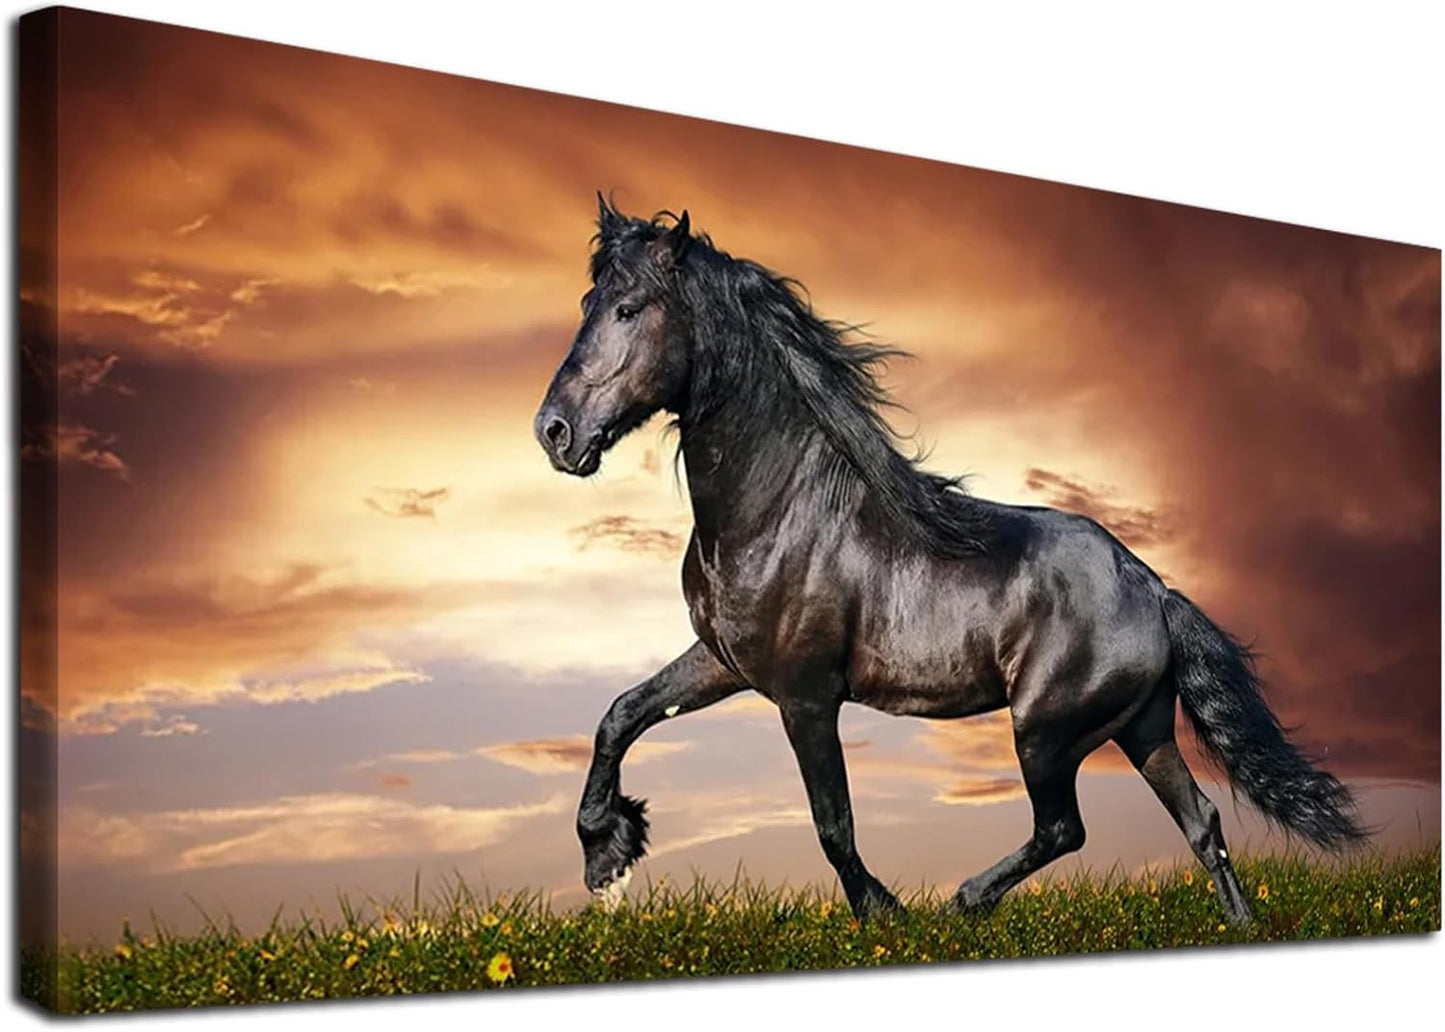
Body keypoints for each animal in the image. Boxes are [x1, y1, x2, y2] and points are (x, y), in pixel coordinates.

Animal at [533, 195, 1366, 925]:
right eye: (586, 301)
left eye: (628, 309)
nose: (554, 431)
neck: (779, 510)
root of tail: (1153, 589)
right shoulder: (723, 661)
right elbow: (620, 716)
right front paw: (606, 856)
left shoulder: (805, 695)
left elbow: (832, 823)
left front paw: (883, 914)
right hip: (1142, 729)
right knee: (1200, 823)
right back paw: (1239, 925)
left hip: (1045, 731)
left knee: (1065, 828)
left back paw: (962, 903)